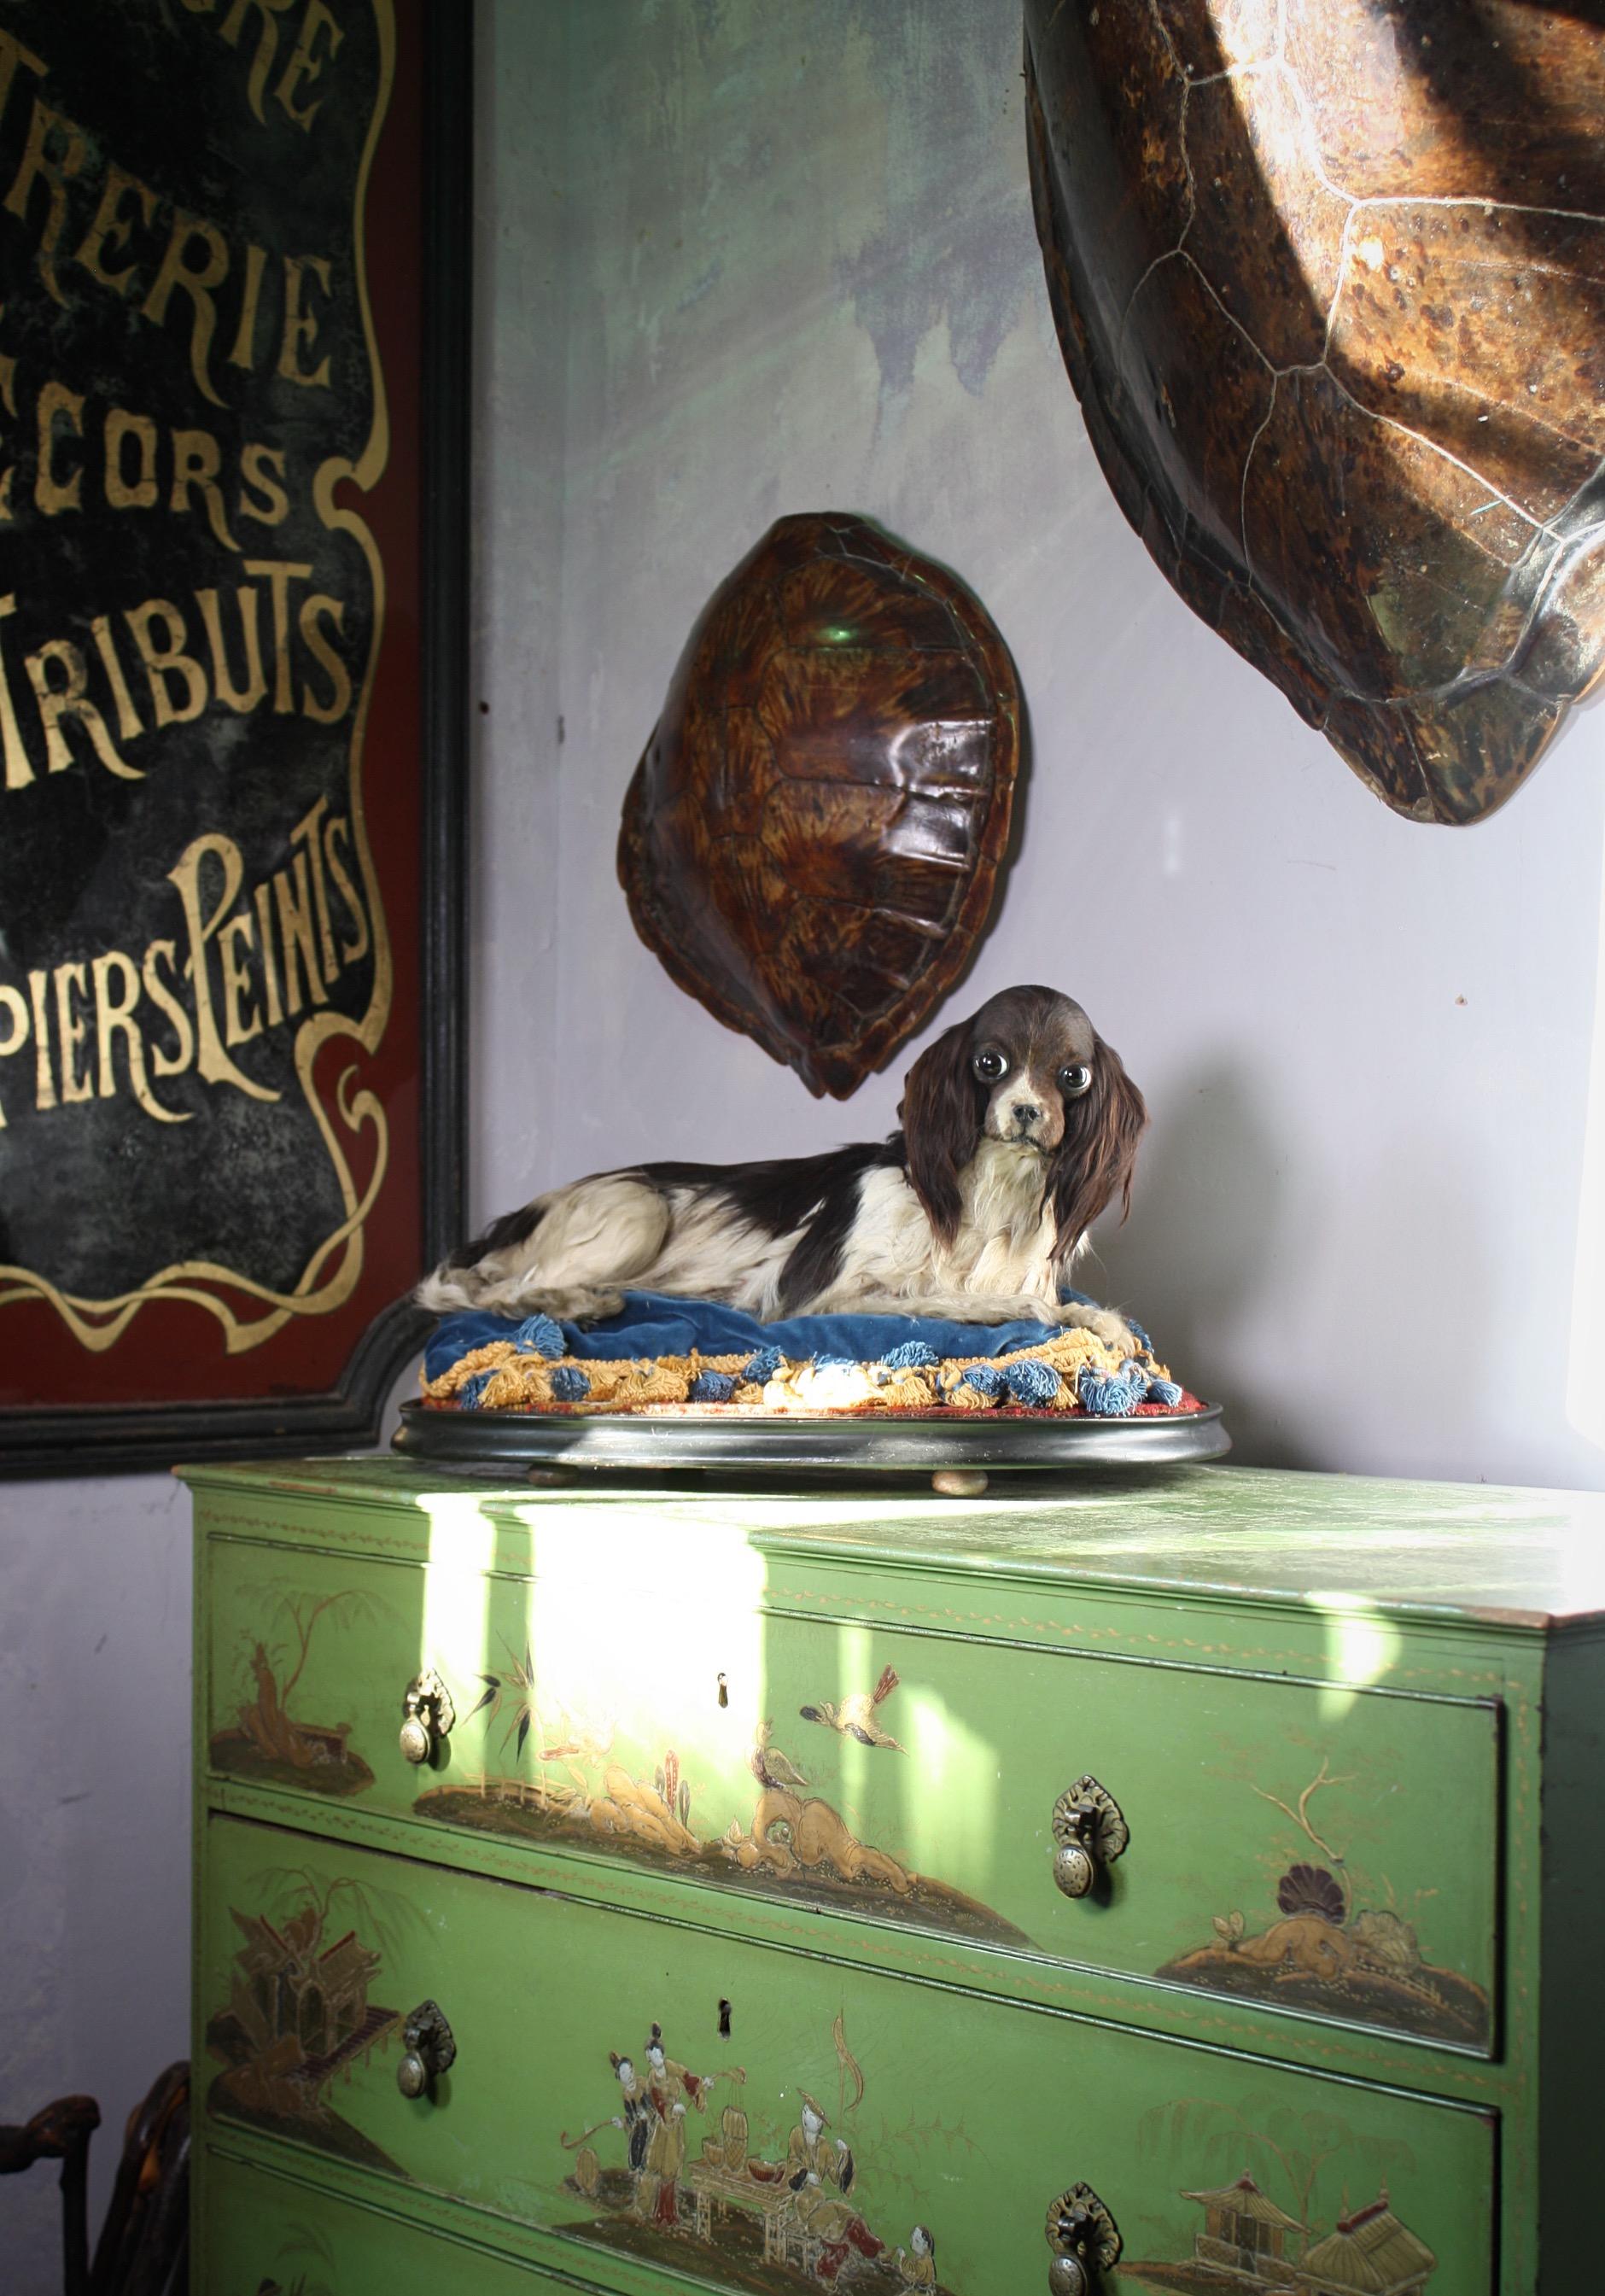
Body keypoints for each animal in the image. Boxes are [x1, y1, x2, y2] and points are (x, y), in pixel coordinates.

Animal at [420, 982, 1147, 1341]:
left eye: (1074, 1075)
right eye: (989, 1063)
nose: (1027, 1111)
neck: (994, 1191)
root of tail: (516, 1216)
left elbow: (1078, 1312)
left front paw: (1098, 1321)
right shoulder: (823, 1298)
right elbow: (960, 1300)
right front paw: (1020, 1312)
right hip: (637, 1206)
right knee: (486, 1292)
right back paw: (579, 1302)